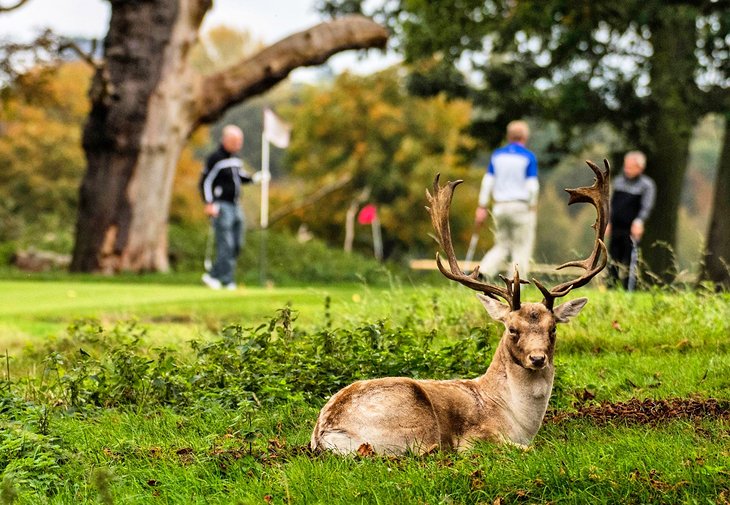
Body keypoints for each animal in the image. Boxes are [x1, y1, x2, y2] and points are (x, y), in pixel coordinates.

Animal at [308, 159, 608, 454]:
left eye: (553, 328)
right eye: (512, 329)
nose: (537, 358)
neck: (518, 423)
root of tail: (324, 433)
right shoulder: (477, 437)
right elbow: (530, 449)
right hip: (412, 419)